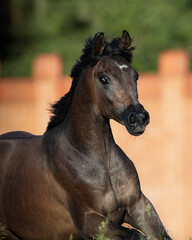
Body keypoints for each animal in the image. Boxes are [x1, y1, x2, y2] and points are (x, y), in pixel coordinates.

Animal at [0, 31, 171, 239]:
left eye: (135, 76)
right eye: (103, 78)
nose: (138, 118)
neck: (101, 162)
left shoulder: (139, 206)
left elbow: (160, 234)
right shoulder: (90, 221)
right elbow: (136, 235)